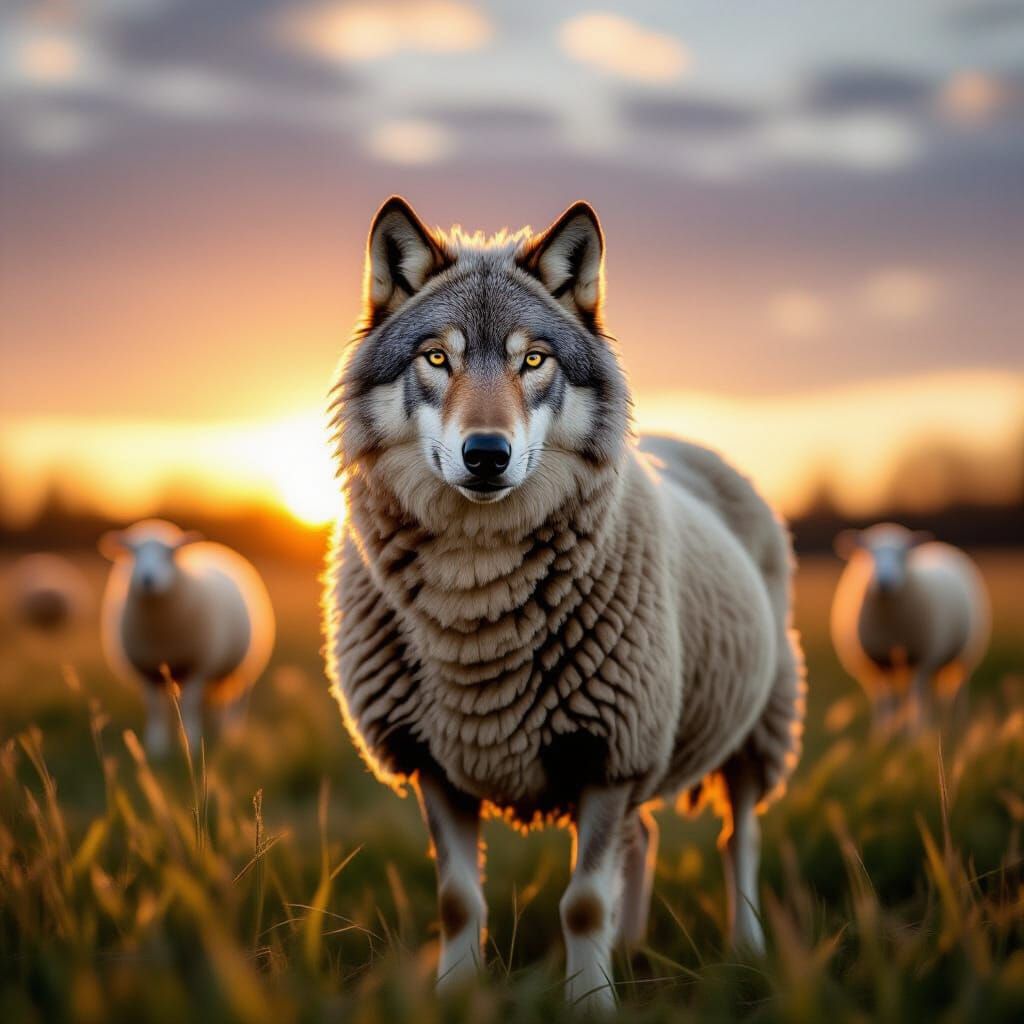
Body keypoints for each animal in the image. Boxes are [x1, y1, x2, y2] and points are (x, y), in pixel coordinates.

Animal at [100, 519, 275, 757]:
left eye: (169, 554)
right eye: (133, 552)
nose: (147, 579)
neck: (160, 633)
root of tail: (213, 547)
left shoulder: (197, 666)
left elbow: (190, 705)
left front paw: (190, 741)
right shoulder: (148, 670)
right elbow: (155, 708)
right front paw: (156, 745)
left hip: (246, 667)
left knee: (238, 701)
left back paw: (233, 733)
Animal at [323, 197, 807, 1010]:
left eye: (534, 360)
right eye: (436, 358)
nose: (486, 455)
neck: (476, 608)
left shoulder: (611, 752)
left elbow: (582, 903)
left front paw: (591, 1004)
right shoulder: (435, 762)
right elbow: (460, 899)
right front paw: (456, 996)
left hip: (756, 728)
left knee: (738, 840)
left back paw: (745, 952)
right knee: (646, 839)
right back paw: (635, 948)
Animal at [831, 523, 990, 734]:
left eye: (902, 554)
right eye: (868, 553)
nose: (885, 581)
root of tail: (941, 546)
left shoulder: (921, 658)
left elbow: (916, 699)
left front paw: (916, 733)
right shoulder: (879, 661)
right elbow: (887, 701)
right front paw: (885, 734)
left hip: (965, 654)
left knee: (955, 691)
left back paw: (955, 724)